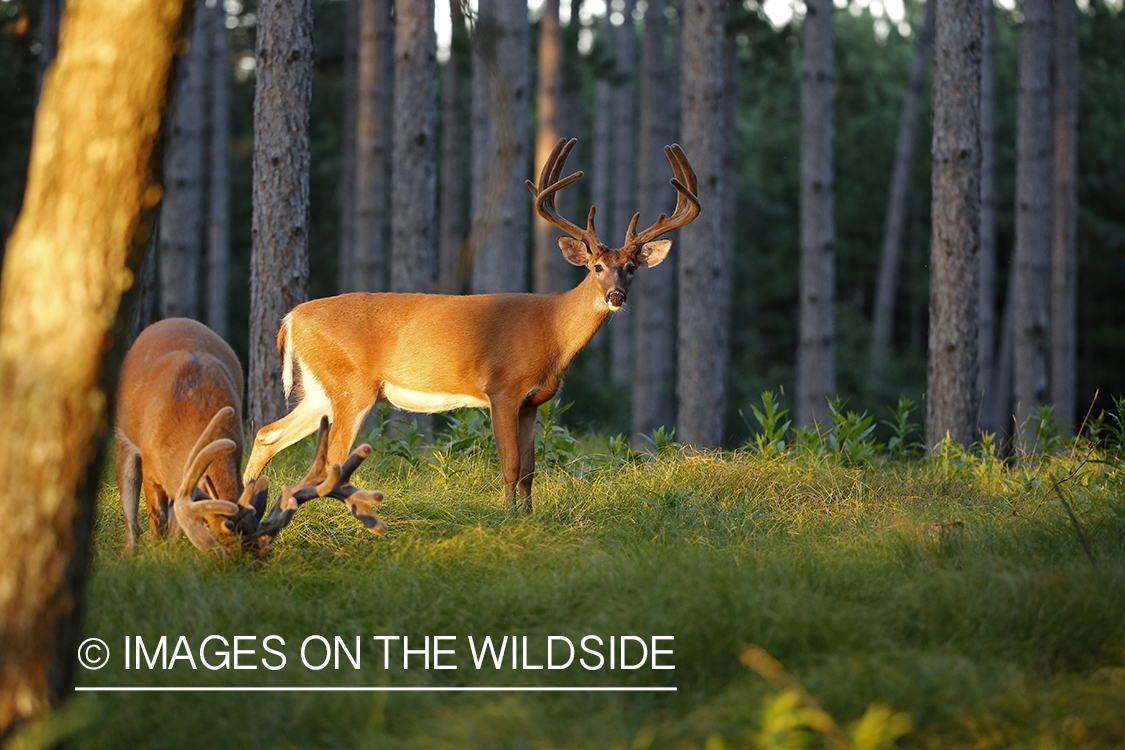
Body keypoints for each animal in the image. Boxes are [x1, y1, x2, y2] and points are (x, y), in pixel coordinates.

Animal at [114, 319, 387, 555]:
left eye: (263, 552)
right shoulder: (152, 469)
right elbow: (157, 524)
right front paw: (161, 557)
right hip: (122, 438)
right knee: (130, 518)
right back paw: (129, 554)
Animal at [245, 138, 697, 510]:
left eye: (632, 268)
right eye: (597, 266)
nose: (615, 297)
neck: (553, 330)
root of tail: (291, 317)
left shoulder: (533, 402)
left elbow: (531, 471)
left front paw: (529, 519)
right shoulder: (503, 388)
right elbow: (511, 466)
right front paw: (507, 519)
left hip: (320, 389)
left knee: (267, 434)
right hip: (350, 386)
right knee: (332, 459)